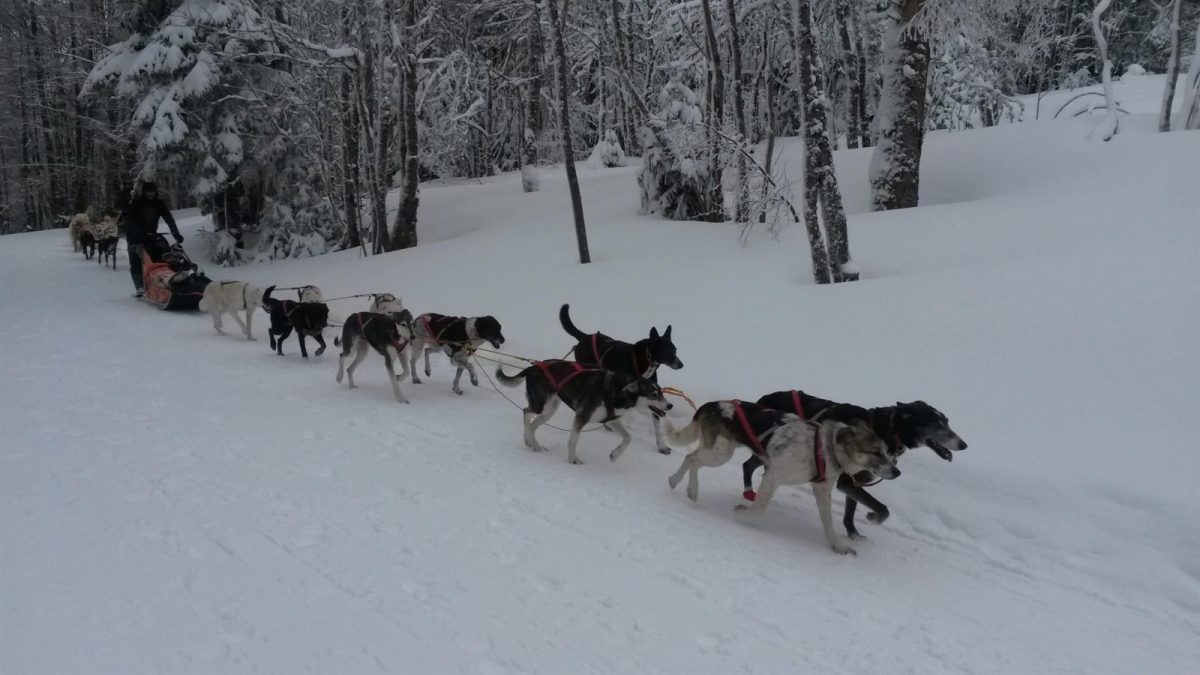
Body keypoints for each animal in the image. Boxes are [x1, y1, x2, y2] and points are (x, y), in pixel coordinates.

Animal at [492, 360, 672, 466]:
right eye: (653, 394)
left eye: (661, 393)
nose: (670, 405)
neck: (615, 389)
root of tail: (532, 367)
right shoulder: (582, 416)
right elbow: (574, 440)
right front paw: (573, 459)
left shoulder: (612, 419)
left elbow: (628, 438)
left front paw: (615, 455)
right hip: (541, 405)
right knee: (526, 412)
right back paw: (529, 439)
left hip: (550, 410)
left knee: (532, 423)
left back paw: (532, 443)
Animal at [556, 303, 681, 451]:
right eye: (667, 350)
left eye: (675, 350)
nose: (681, 364)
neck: (643, 361)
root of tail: (585, 337)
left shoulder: (652, 392)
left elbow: (656, 421)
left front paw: (662, 445)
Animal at [667, 398, 902, 552]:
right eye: (875, 452)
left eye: (887, 451)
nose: (897, 471)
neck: (826, 448)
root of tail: (712, 404)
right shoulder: (772, 477)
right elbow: (759, 508)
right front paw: (743, 512)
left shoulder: (822, 490)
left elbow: (828, 523)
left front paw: (837, 545)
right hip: (720, 453)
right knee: (692, 460)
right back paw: (691, 489)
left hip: (717, 450)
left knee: (690, 456)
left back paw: (677, 482)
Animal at [748, 389, 964, 535]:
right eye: (938, 424)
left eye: (947, 422)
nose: (964, 444)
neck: (886, 429)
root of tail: (763, 399)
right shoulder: (847, 480)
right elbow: (881, 508)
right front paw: (874, 518)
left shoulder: (855, 479)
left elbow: (850, 511)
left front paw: (853, 534)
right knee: (749, 466)